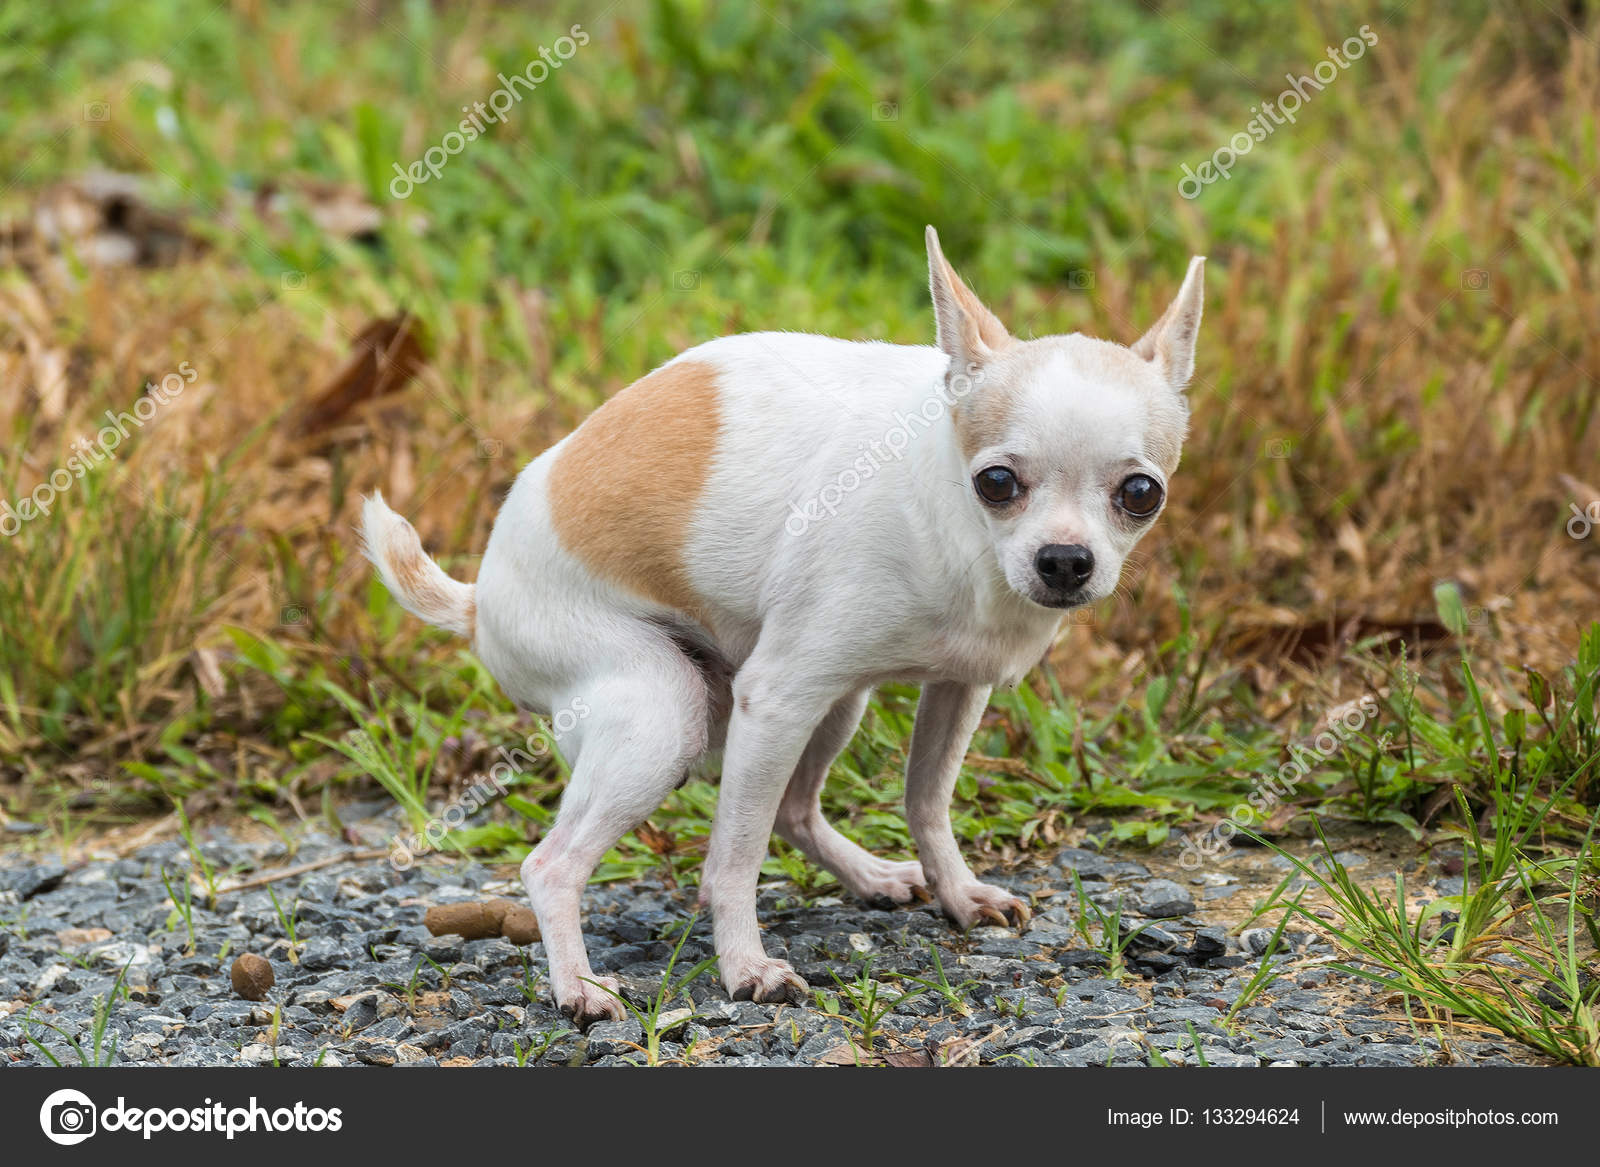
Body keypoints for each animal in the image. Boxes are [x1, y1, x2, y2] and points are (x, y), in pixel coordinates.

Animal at [363, 232, 1203, 1024]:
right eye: (997, 483)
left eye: (1141, 493)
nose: (1064, 559)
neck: (952, 514)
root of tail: (478, 598)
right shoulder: (775, 697)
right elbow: (734, 858)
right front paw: (744, 966)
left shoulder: (956, 687)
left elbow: (926, 799)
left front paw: (956, 891)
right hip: (661, 710)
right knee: (556, 864)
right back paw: (578, 985)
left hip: (834, 704)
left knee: (796, 809)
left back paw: (871, 875)